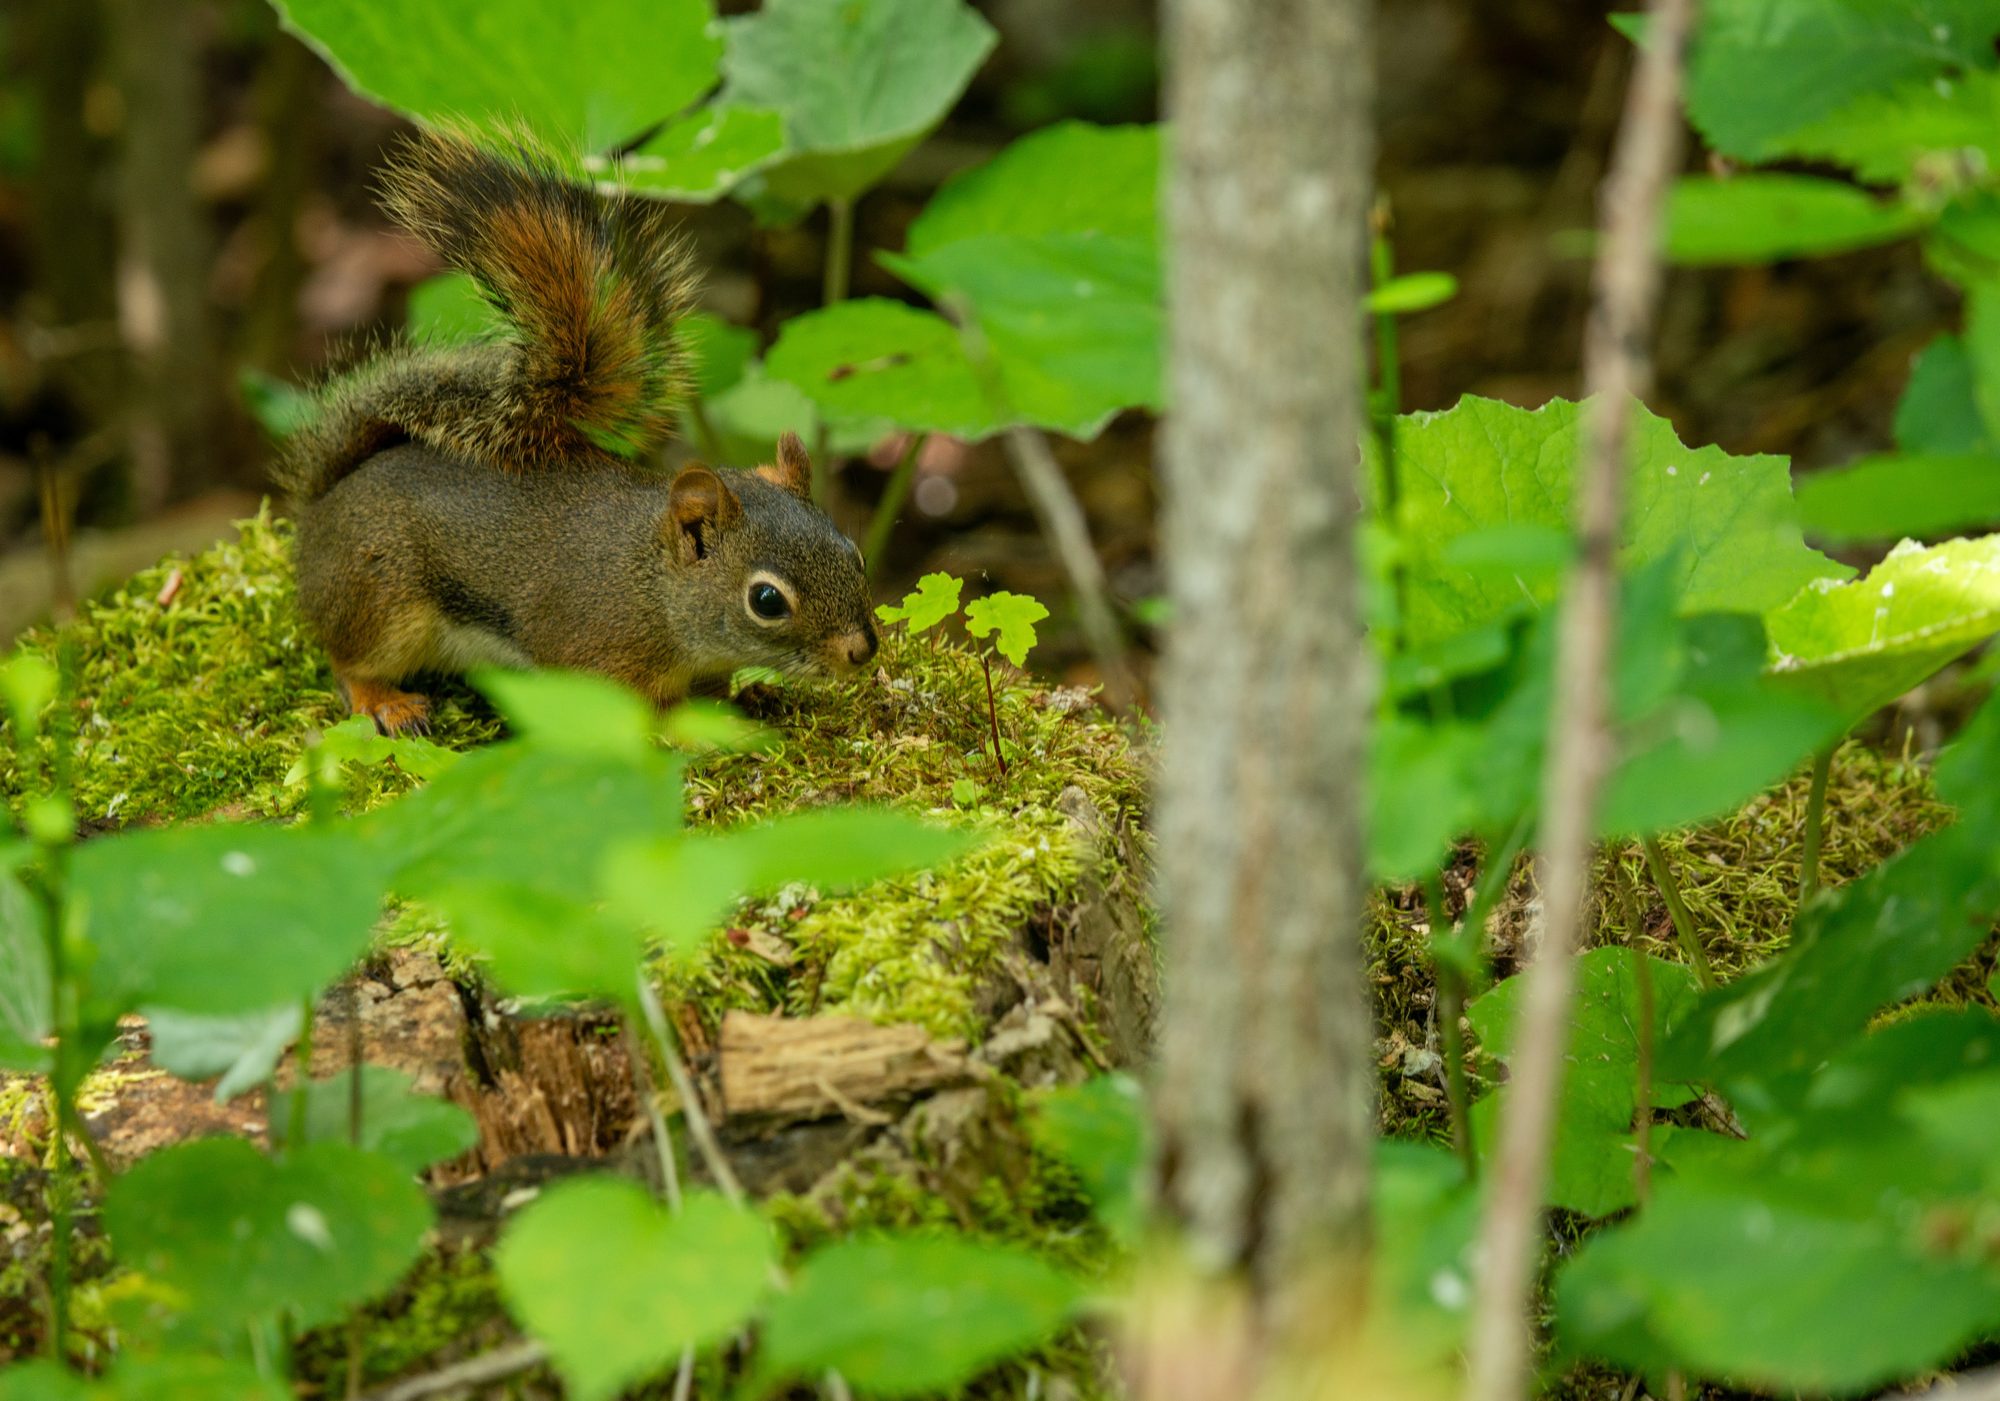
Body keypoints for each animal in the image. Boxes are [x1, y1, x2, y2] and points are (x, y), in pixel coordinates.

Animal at [273, 130, 878, 736]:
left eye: (855, 555)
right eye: (767, 600)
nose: (862, 651)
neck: (652, 586)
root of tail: (321, 507)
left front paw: (750, 697)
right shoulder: (592, 658)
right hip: (380, 601)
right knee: (349, 663)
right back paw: (387, 701)